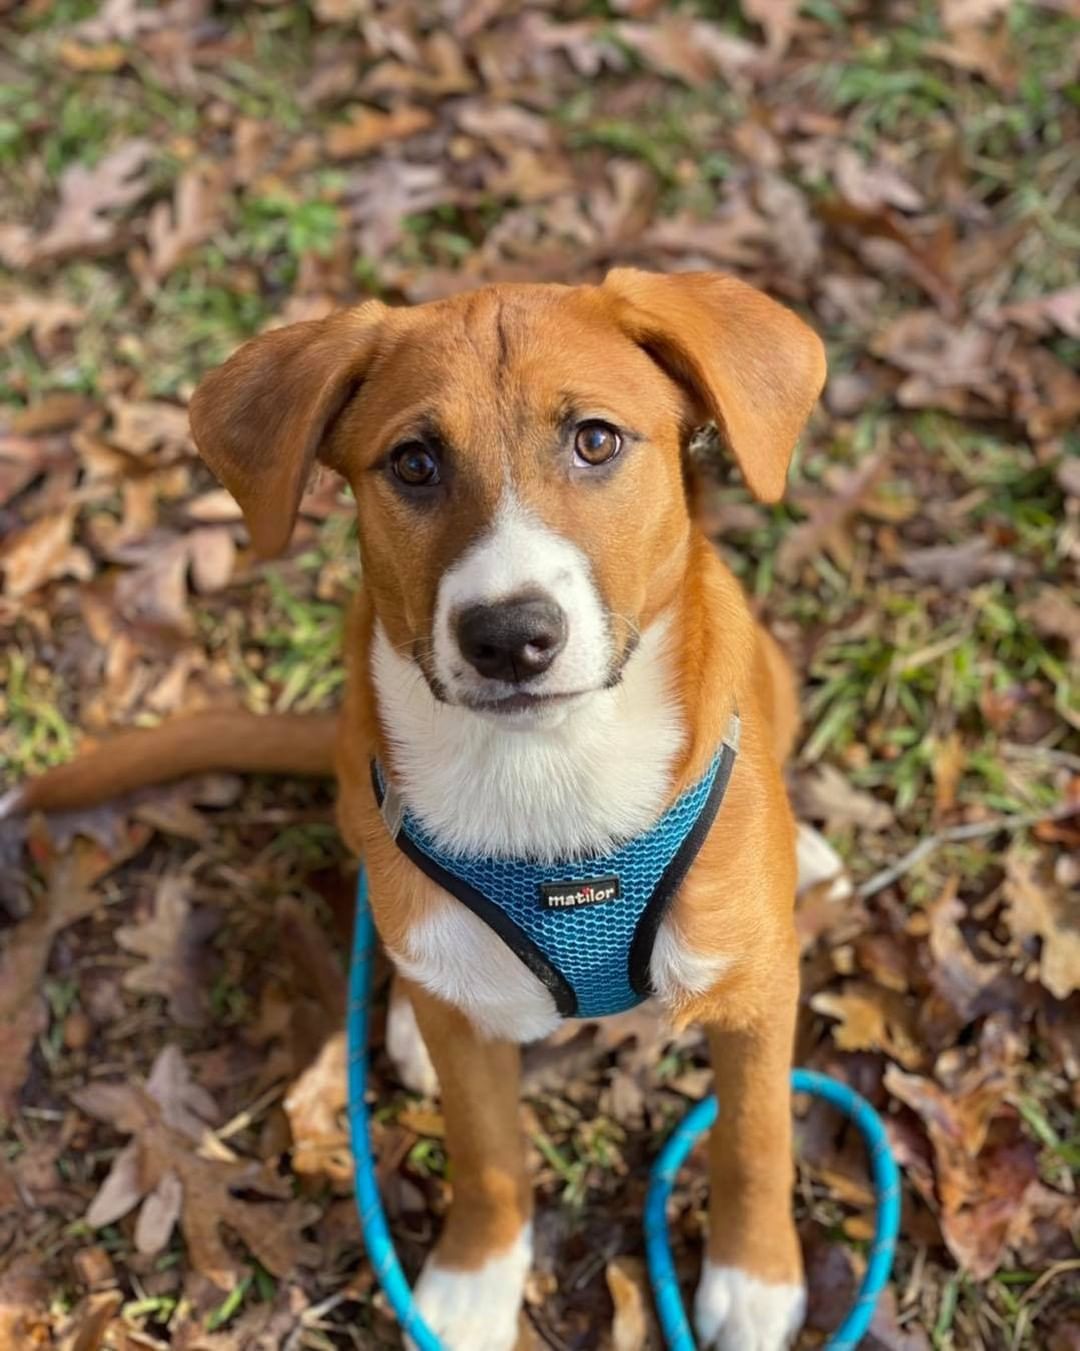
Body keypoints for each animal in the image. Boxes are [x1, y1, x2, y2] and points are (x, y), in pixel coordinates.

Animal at [12, 271, 827, 1351]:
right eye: (414, 462)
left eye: (596, 440)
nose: (509, 636)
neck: (547, 771)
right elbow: (485, 1151)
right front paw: (475, 1281)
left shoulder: (756, 996)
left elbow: (755, 1134)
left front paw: (754, 1276)